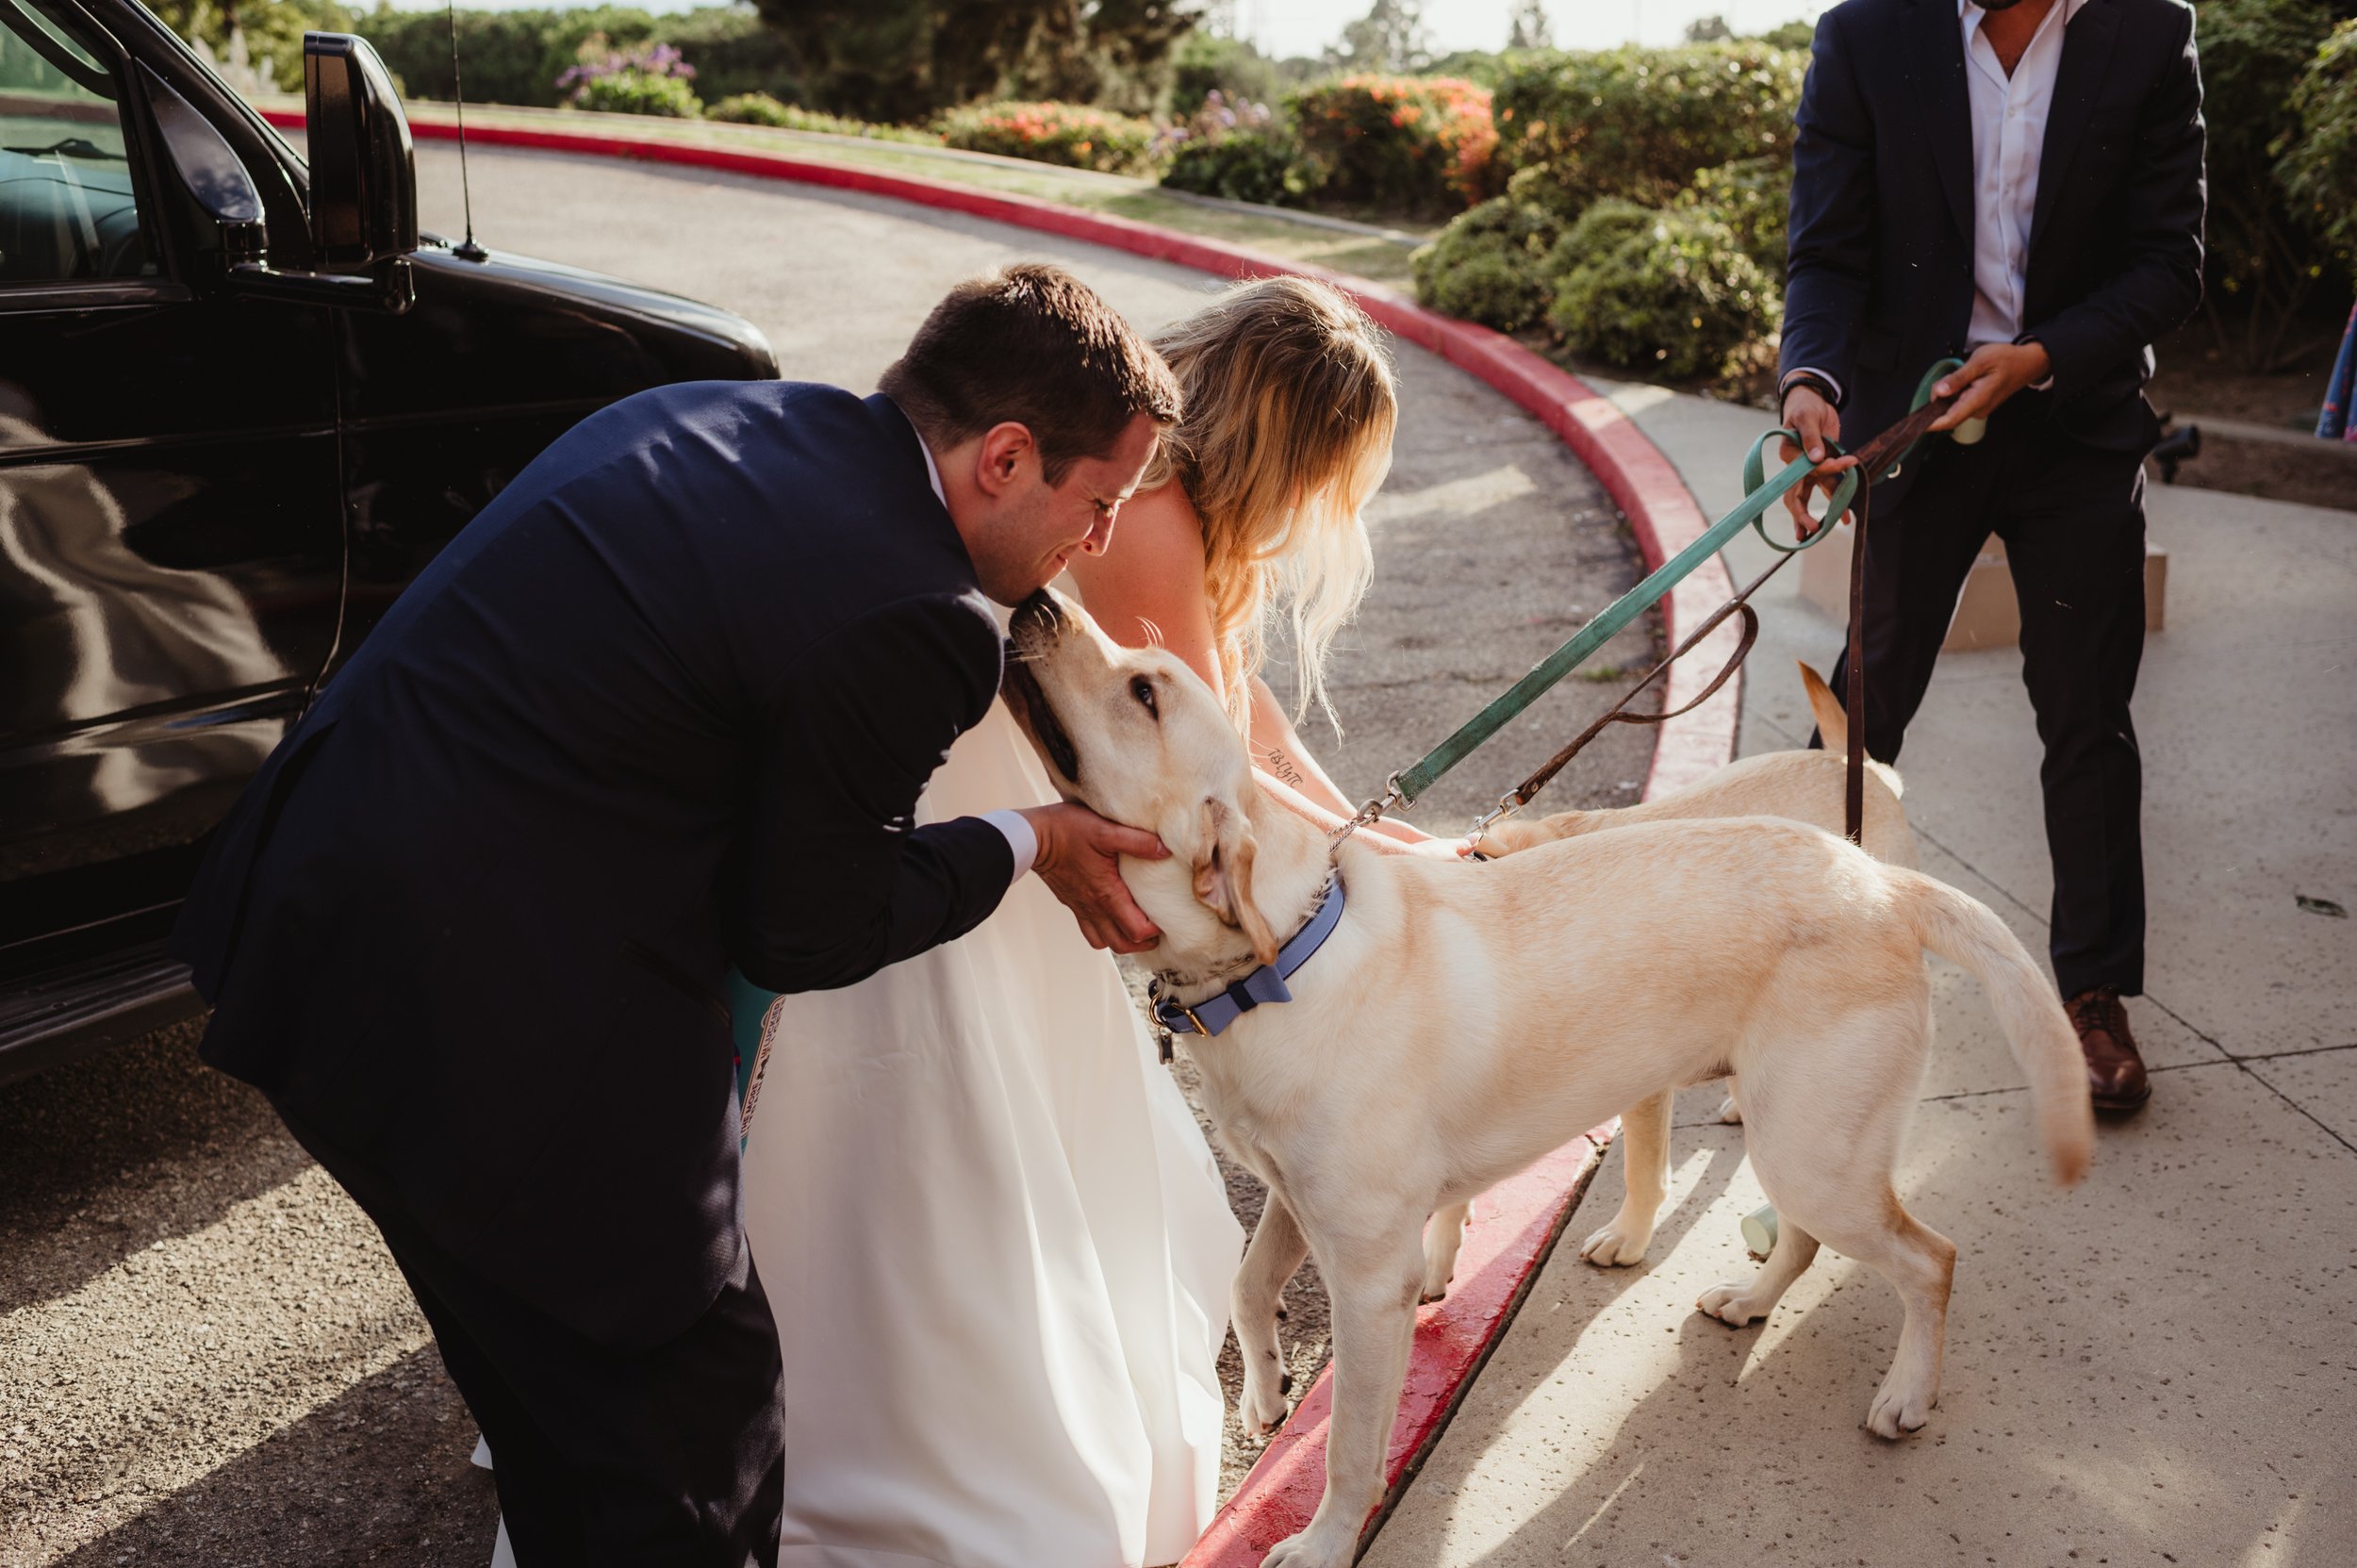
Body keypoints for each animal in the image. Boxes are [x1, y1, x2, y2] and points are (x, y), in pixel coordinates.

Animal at [1004, 589, 2093, 1565]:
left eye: (1145, 692)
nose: (1032, 603)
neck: (1282, 955)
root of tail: (1885, 880)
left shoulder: (1367, 1276)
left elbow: (1350, 1444)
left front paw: (1320, 1542)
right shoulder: (1292, 1196)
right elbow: (1243, 1284)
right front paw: (1266, 1392)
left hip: (1813, 1147)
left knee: (1929, 1257)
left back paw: (1907, 1394)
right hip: (1803, 1140)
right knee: (1814, 1237)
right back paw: (1751, 1300)